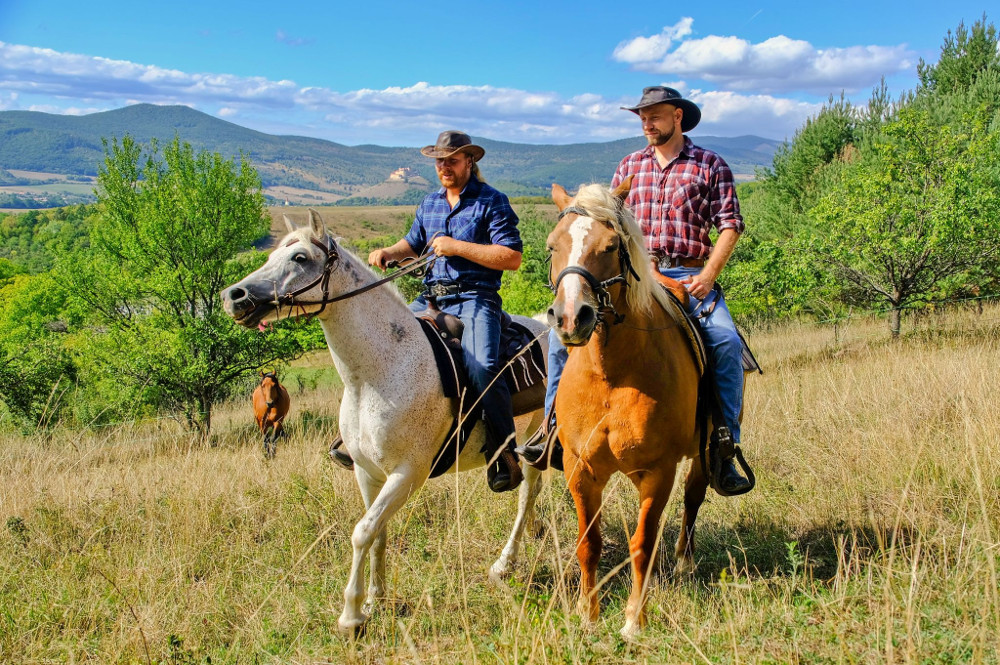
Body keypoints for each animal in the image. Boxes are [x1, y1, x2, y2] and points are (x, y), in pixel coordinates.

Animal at [221, 210, 548, 636]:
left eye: (300, 258)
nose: (234, 296)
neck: (378, 371)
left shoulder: (407, 474)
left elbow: (362, 532)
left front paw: (351, 615)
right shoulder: (367, 472)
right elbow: (377, 532)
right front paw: (375, 598)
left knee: (527, 494)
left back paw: (505, 563)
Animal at [552, 178, 708, 640]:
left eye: (609, 246)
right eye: (552, 246)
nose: (571, 318)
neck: (611, 375)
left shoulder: (658, 471)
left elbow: (642, 545)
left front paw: (634, 621)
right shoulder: (580, 468)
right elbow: (589, 543)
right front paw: (588, 615)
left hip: (705, 451)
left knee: (694, 495)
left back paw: (684, 560)